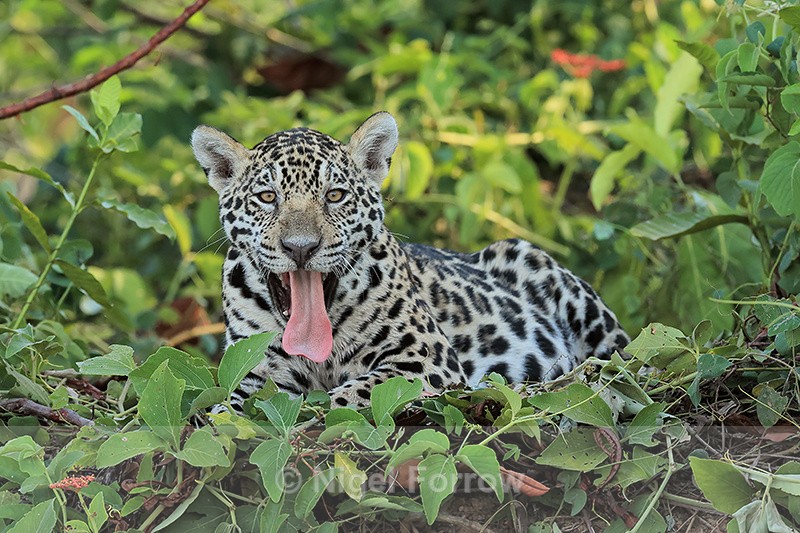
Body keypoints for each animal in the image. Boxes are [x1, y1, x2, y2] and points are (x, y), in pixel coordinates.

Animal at [191, 112, 630, 410]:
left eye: (335, 195)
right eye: (267, 198)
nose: (301, 247)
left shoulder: (424, 358)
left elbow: (351, 396)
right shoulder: (253, 367)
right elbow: (228, 405)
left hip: (545, 274)